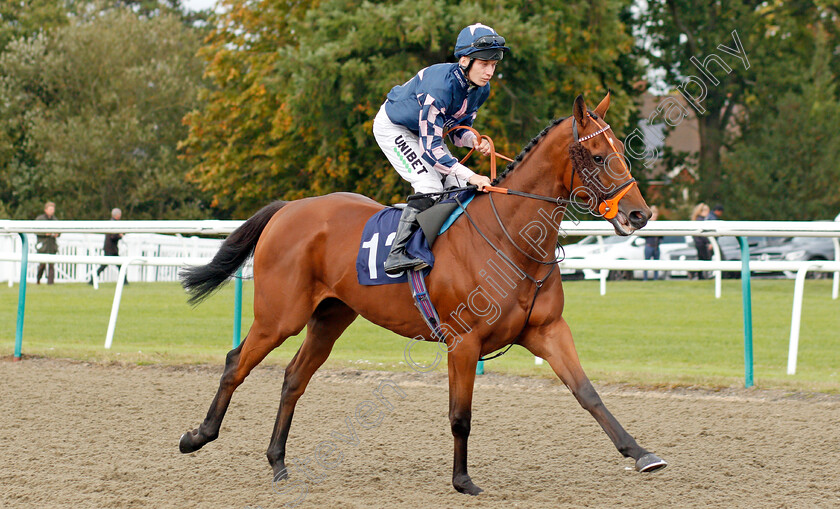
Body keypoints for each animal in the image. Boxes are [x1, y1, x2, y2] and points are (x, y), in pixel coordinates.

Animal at [179, 93, 668, 494]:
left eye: (621, 151)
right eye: (598, 155)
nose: (639, 214)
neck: (511, 238)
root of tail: (288, 208)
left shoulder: (547, 330)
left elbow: (588, 393)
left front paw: (642, 453)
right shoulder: (463, 342)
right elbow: (460, 415)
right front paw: (463, 480)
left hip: (330, 317)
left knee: (294, 377)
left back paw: (278, 463)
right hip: (279, 316)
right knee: (235, 363)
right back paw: (197, 436)